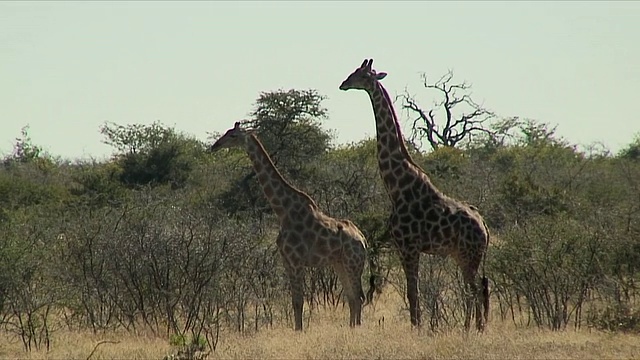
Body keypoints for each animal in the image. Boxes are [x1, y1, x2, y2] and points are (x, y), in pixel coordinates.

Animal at [210, 122, 370, 330]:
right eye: (227, 132)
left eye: (233, 136)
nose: (215, 146)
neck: (283, 211)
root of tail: (363, 240)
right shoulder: (286, 261)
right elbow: (295, 301)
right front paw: (297, 330)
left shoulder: (296, 260)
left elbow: (299, 302)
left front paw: (299, 331)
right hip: (340, 263)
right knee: (352, 297)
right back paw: (352, 328)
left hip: (353, 263)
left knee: (358, 297)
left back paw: (357, 328)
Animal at [340, 59, 490, 332]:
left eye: (360, 74)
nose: (343, 84)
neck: (397, 188)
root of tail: (485, 227)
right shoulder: (407, 248)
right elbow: (414, 292)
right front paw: (418, 326)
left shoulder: (407, 246)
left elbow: (412, 292)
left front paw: (416, 329)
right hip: (464, 256)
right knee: (476, 289)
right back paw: (473, 327)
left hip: (469, 255)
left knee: (473, 290)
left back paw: (472, 329)